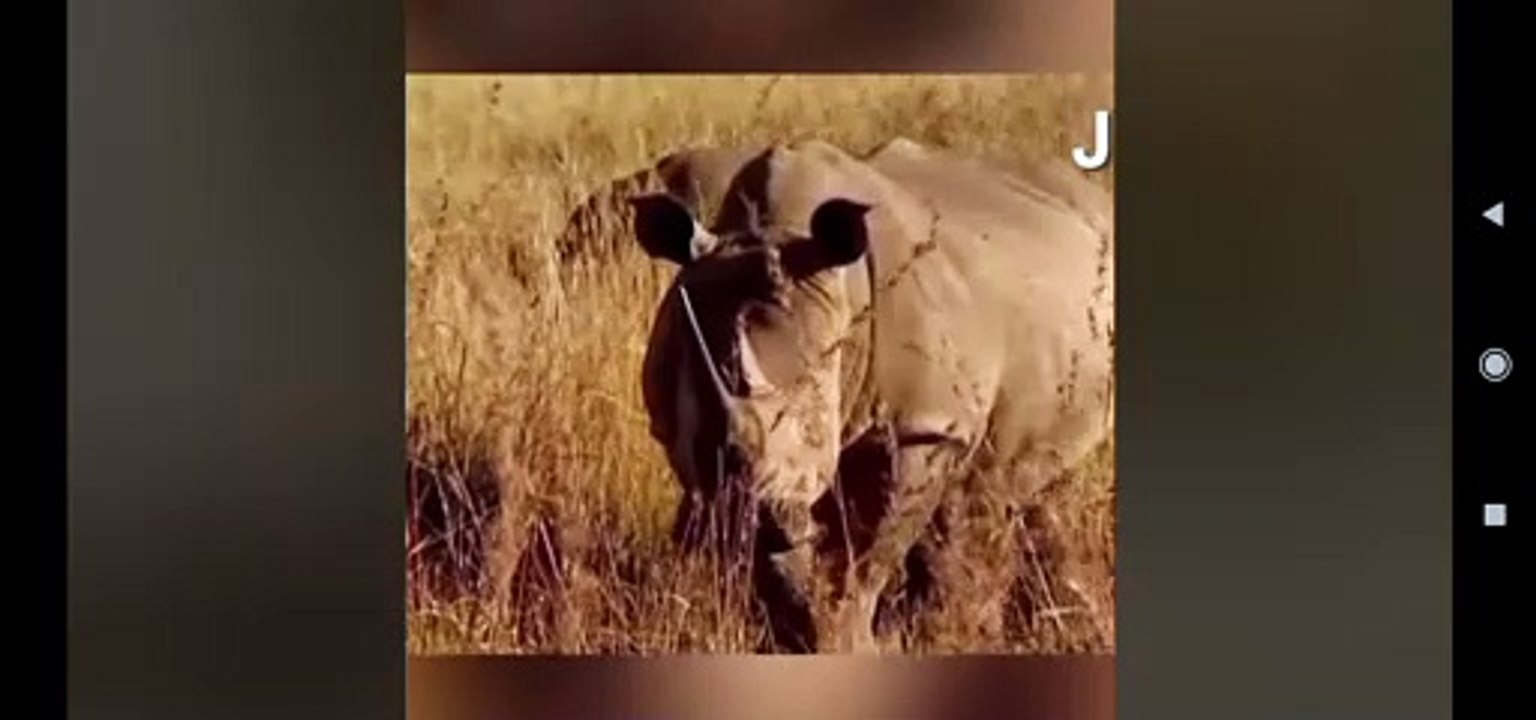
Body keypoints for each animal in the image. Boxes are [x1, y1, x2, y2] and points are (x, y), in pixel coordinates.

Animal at [627, 137, 1114, 653]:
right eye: (698, 429)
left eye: (811, 425)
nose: (745, 513)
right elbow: (783, 567)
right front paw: (795, 639)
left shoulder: (921, 427)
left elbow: (865, 555)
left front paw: (853, 643)